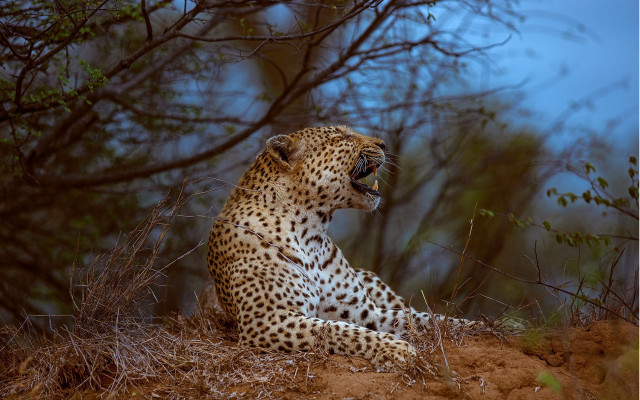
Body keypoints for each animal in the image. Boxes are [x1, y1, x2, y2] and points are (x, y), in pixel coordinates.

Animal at [206, 125, 476, 371]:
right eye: (341, 136)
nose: (383, 144)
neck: (312, 233)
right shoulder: (266, 320)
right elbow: (338, 331)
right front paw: (395, 348)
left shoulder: (366, 312)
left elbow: (423, 319)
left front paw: (476, 326)